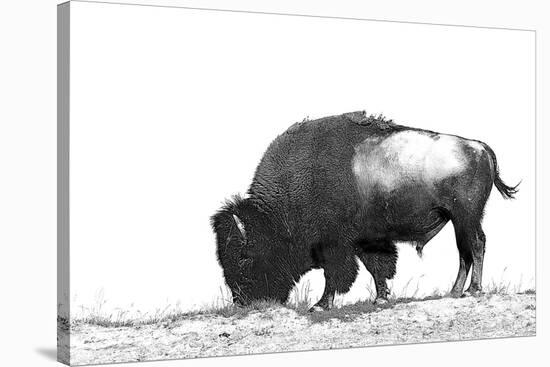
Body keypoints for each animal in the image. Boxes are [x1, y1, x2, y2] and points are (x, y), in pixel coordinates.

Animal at [210, 111, 516, 310]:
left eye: (245, 257)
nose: (242, 301)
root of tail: (479, 147)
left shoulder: (335, 246)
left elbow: (336, 274)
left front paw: (320, 305)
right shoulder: (367, 241)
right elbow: (377, 267)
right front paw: (380, 298)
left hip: (466, 217)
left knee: (476, 245)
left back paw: (472, 291)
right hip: (458, 220)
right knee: (465, 251)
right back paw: (454, 291)